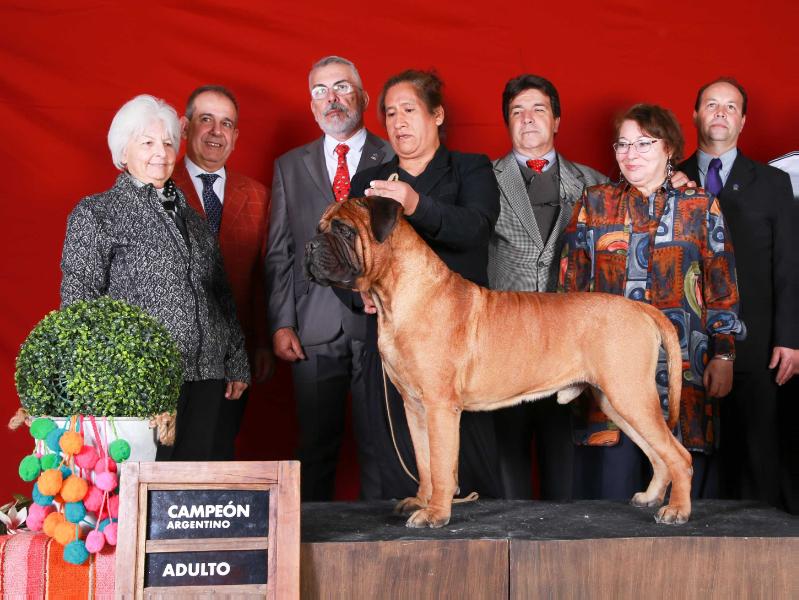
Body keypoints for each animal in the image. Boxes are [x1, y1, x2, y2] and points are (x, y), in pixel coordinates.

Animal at [306, 198, 692, 528]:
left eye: (344, 230)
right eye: (319, 227)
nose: (310, 246)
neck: (396, 295)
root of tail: (640, 307)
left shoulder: (439, 407)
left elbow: (442, 465)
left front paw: (436, 514)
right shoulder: (414, 407)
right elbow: (425, 461)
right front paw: (422, 500)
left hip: (631, 395)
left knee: (679, 456)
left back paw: (677, 511)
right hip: (617, 402)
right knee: (657, 453)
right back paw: (651, 497)